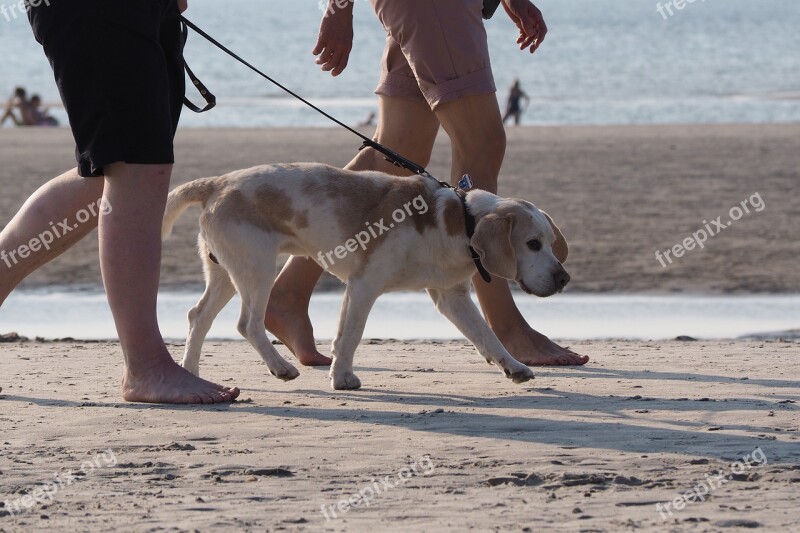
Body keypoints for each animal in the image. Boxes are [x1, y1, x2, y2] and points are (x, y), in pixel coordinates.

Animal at [161, 160, 568, 388]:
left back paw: (192, 372)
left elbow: (487, 337)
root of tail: (218, 182)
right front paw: (341, 378)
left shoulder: (451, 298)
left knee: (197, 317)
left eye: (550, 243)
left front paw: (513, 367)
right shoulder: (363, 286)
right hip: (256, 271)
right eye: (532, 244)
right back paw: (280, 367)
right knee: (248, 323)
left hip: (226, 275)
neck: (460, 221)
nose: (564, 279)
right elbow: (350, 336)